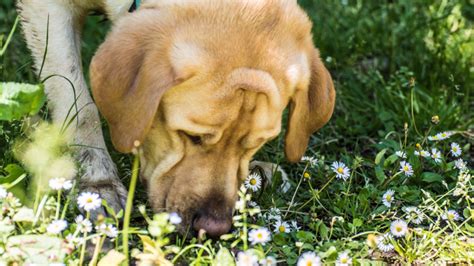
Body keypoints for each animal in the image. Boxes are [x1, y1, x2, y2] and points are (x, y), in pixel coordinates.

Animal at [18, 0, 336, 237]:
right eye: (191, 136)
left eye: (256, 143)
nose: (213, 228)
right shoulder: (49, 12)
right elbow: (80, 105)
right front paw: (96, 181)